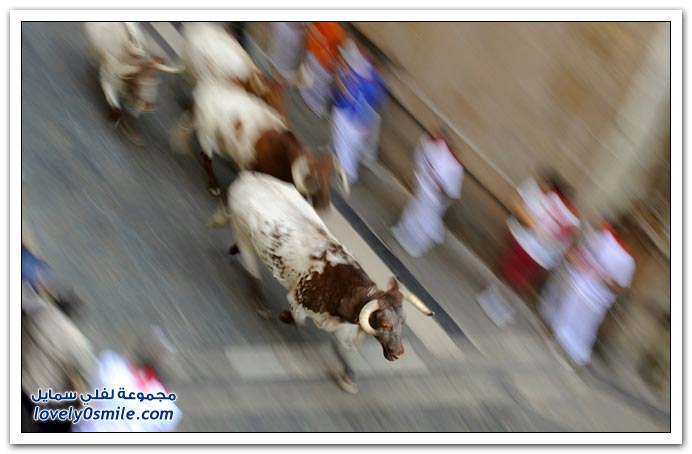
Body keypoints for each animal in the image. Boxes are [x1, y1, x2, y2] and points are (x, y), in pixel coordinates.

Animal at [173, 82, 346, 207]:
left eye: (329, 177)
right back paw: (214, 185)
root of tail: (200, 91)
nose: (324, 204)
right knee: (206, 159)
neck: (280, 152)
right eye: (313, 176)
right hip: (206, 136)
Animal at [214, 172, 436, 392]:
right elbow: (296, 320)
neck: (343, 290)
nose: (398, 353)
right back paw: (260, 303)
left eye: (403, 322)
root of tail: (249, 178)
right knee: (251, 269)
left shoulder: (345, 329)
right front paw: (283, 315)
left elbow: (344, 349)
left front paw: (348, 378)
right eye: (384, 323)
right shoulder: (298, 302)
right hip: (242, 231)